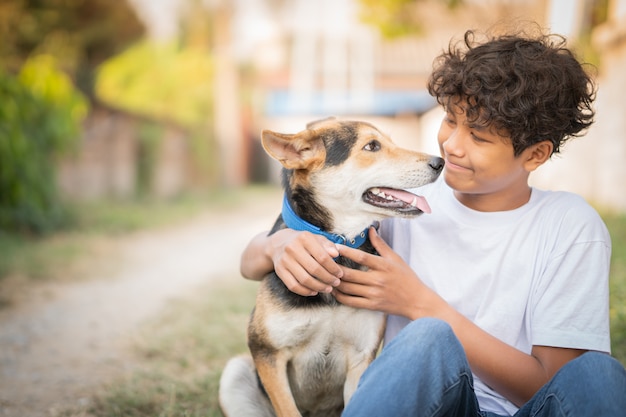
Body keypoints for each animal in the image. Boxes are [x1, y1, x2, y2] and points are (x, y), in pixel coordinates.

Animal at [217, 118, 442, 416]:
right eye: (372, 146)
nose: (440, 162)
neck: (338, 244)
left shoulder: (361, 356)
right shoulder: (268, 352)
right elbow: (288, 410)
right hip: (236, 373)